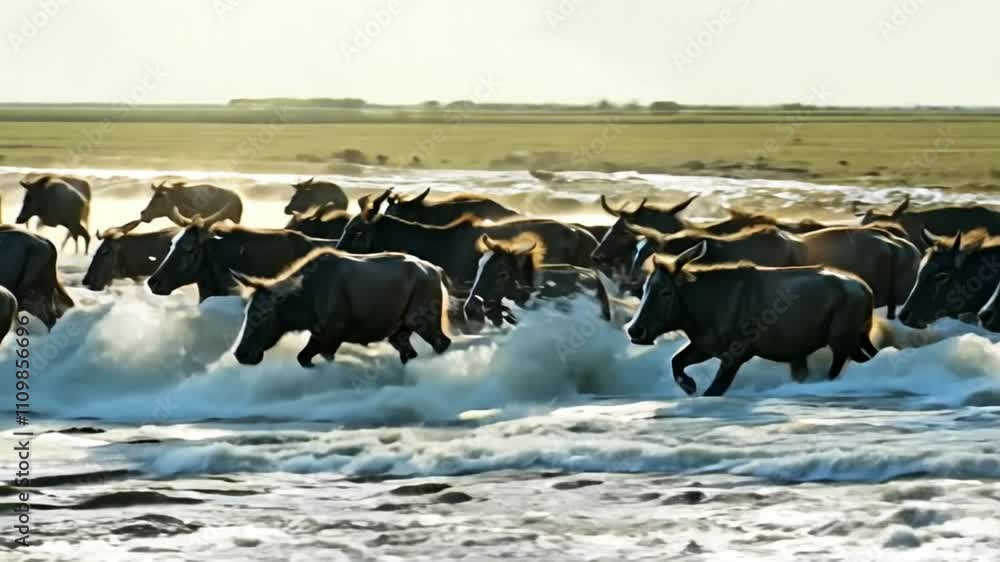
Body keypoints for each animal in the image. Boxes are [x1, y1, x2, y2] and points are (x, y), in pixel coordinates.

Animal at [232, 248, 452, 367]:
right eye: (247, 311)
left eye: (263, 314)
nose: (241, 353)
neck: (304, 306)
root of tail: (438, 271)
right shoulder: (325, 336)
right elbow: (311, 358)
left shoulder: (332, 334)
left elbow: (305, 358)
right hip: (399, 331)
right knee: (408, 352)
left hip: (424, 321)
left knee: (442, 343)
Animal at [626, 242, 879, 397]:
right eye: (645, 287)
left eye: (665, 292)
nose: (635, 330)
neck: (701, 311)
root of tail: (866, 291)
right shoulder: (705, 346)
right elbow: (676, 361)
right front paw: (689, 386)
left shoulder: (737, 353)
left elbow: (714, 389)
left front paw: (692, 387)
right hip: (853, 339)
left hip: (842, 339)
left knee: (841, 367)